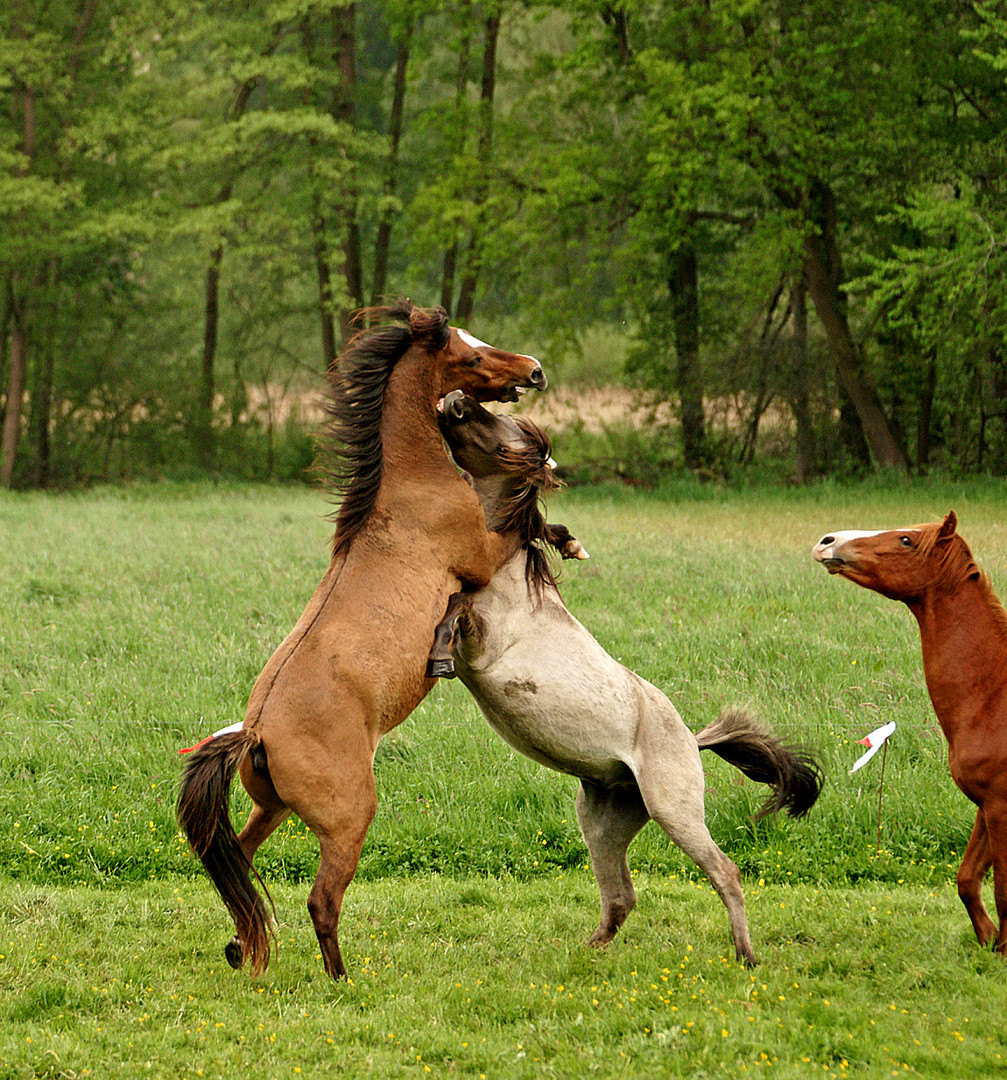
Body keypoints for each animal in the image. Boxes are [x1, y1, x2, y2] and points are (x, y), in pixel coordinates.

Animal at [177, 298, 546, 980]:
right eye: (472, 354)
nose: (532, 369)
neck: (409, 483)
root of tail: (255, 732)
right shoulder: (482, 558)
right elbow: (523, 529)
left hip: (271, 808)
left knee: (238, 862)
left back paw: (241, 947)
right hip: (348, 820)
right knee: (321, 899)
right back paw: (343, 980)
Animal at [436, 395, 821, 963]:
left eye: (504, 433)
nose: (455, 402)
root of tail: (692, 740)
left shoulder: (483, 645)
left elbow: (456, 608)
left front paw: (436, 653)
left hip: (674, 811)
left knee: (724, 873)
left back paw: (746, 956)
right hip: (603, 821)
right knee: (621, 895)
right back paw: (591, 948)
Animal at [812, 509, 1007, 959]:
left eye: (905, 540)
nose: (828, 542)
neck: (993, 694)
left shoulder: (1002, 808)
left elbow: (1004, 892)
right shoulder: (986, 807)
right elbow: (968, 879)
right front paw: (992, 941)